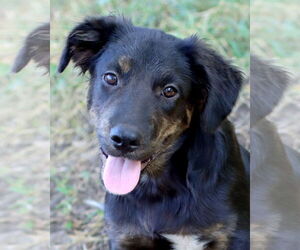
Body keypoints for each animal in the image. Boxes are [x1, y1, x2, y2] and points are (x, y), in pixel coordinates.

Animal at [58, 16, 248, 250]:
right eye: (111, 78)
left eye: (169, 91)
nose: (124, 140)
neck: (157, 189)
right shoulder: (125, 237)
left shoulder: (232, 235)